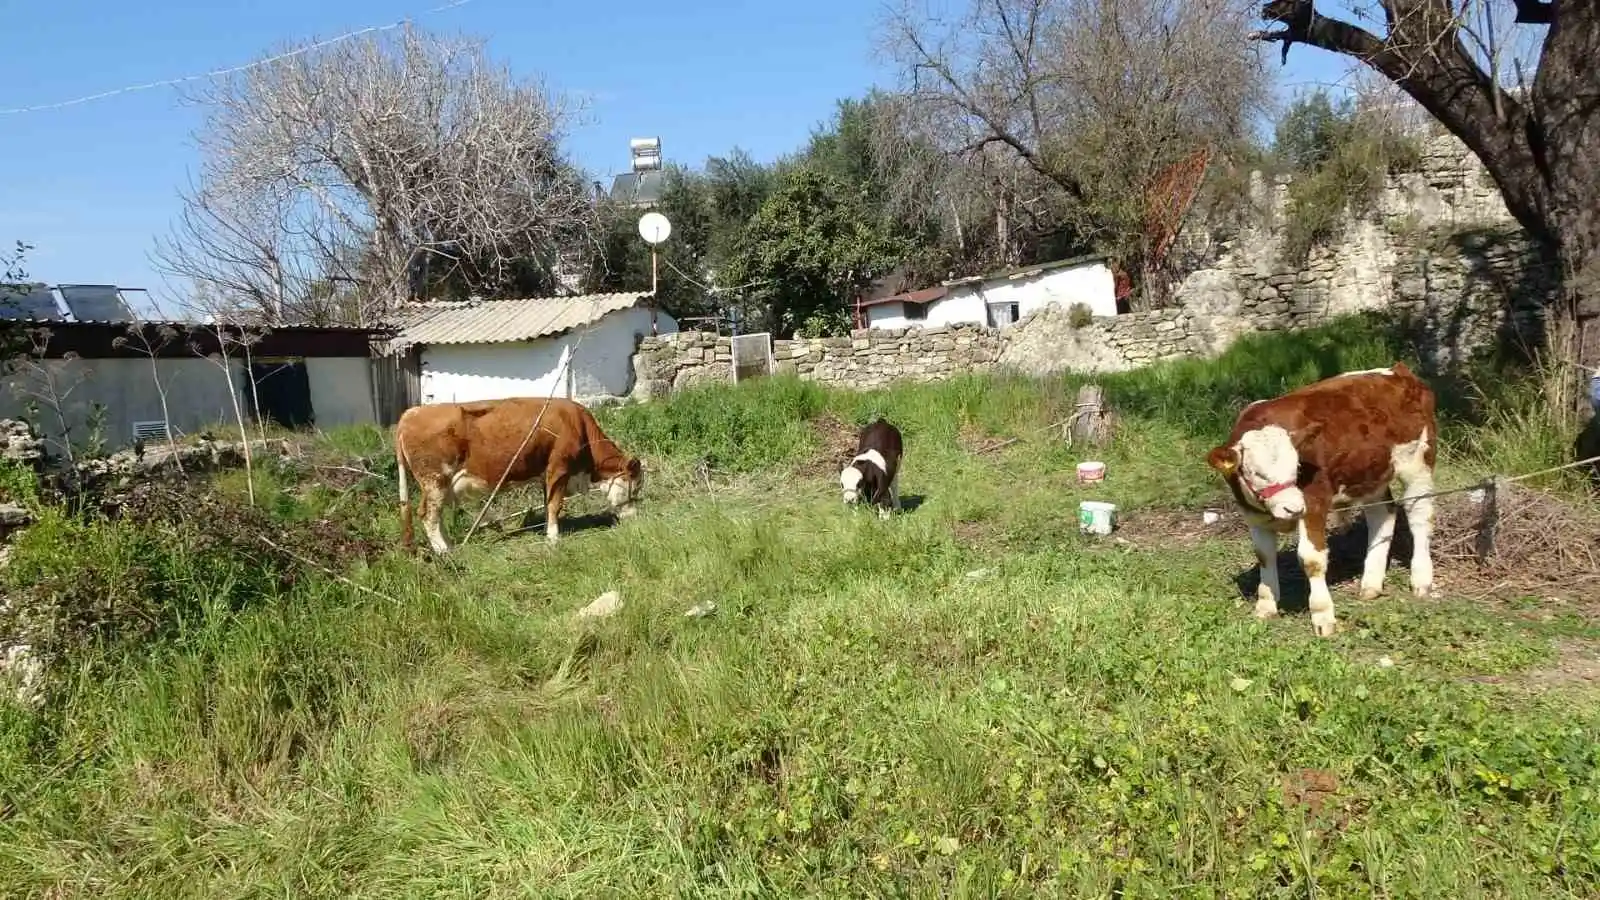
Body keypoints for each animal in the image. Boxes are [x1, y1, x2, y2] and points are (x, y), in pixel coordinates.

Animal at [395, 395, 643, 550]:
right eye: (636, 487)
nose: (635, 519)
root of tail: (410, 413)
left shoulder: (546, 475)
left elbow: (547, 503)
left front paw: (548, 531)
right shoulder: (559, 468)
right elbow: (555, 505)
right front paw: (554, 539)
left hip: (438, 484)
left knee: (433, 516)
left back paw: (450, 545)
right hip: (435, 479)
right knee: (428, 515)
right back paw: (444, 551)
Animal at [1203, 360, 1446, 634]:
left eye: (1296, 467)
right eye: (1257, 473)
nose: (1292, 508)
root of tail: (1400, 372)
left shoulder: (1314, 504)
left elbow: (1312, 559)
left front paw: (1322, 615)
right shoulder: (1253, 515)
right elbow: (1264, 556)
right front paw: (1265, 606)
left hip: (1419, 463)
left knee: (1419, 516)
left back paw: (1421, 579)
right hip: (1371, 473)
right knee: (1383, 515)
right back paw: (1371, 584)